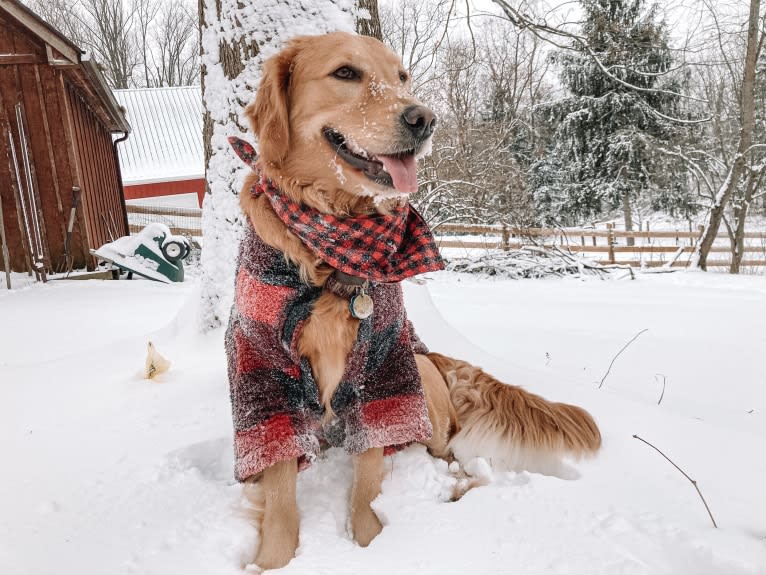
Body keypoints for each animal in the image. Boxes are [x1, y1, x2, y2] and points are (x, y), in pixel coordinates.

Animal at [225, 31, 604, 572]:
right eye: (346, 73)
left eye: (401, 77)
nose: (424, 119)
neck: (331, 243)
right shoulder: (261, 365)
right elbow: (279, 486)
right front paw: (274, 559)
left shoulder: (385, 368)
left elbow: (368, 482)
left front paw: (373, 546)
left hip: (420, 377)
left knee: (455, 462)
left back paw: (454, 491)